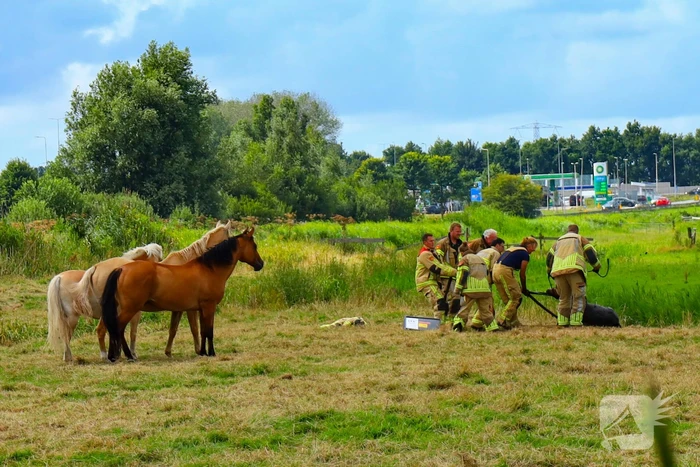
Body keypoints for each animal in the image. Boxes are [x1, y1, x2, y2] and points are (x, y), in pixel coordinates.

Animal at [46, 221, 233, 362]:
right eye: (229, 235)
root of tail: (95, 268)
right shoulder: (189, 309)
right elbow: (194, 328)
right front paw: (198, 350)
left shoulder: (177, 309)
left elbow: (172, 330)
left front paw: (168, 351)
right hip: (80, 316)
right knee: (87, 332)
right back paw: (100, 356)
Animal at [101, 228, 264, 361]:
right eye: (254, 246)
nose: (261, 264)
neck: (209, 269)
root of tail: (122, 269)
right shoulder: (209, 307)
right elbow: (209, 331)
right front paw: (211, 353)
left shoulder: (200, 309)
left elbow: (202, 331)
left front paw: (203, 352)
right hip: (130, 309)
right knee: (118, 328)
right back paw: (128, 355)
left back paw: (114, 355)